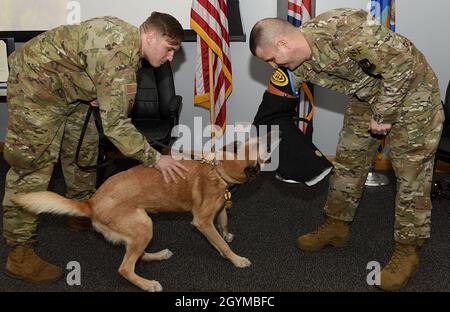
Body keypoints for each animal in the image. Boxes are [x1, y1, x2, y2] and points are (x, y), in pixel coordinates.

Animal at [11, 132, 278, 292]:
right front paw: (236, 258)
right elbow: (220, 244)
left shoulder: (218, 207)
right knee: (125, 268)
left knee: (136, 255)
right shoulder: (202, 221)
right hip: (143, 225)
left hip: (142, 227)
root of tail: (91, 203)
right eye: (259, 145)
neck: (217, 168)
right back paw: (148, 284)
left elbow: (223, 219)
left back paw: (157, 255)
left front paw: (227, 232)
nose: (271, 132)